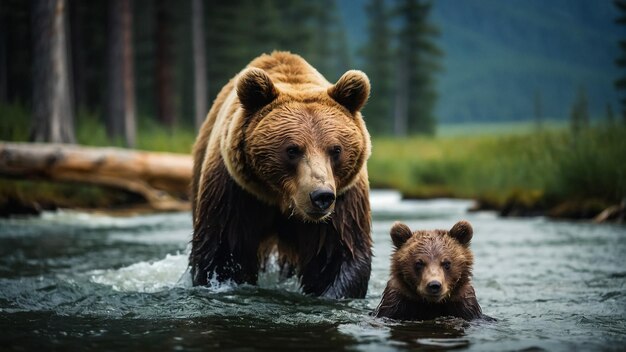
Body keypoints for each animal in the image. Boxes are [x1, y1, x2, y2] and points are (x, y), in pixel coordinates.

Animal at [190, 52, 370, 298]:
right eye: (292, 149)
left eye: (335, 149)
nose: (321, 196)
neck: (282, 201)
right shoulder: (234, 191)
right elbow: (223, 251)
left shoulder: (344, 199)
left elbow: (338, 254)